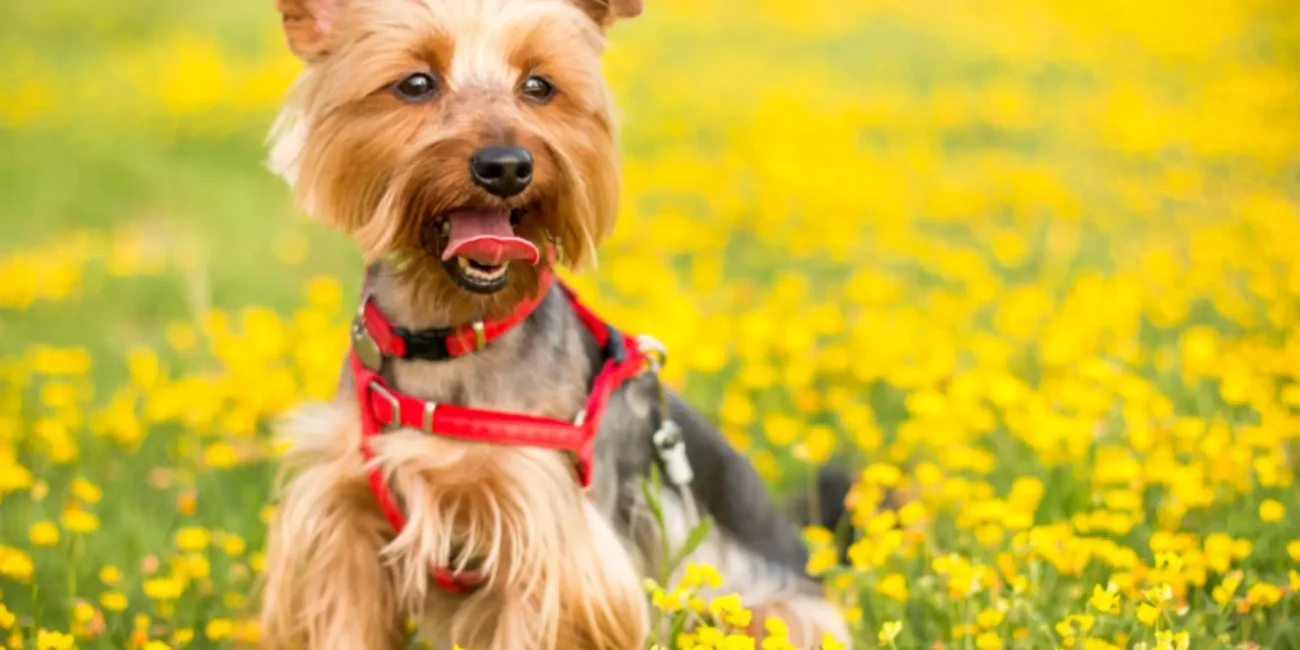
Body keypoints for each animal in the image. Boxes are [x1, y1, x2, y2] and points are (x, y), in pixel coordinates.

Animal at [258, 0, 857, 647]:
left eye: (539, 86)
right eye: (415, 84)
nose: (506, 166)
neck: (451, 334)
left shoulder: (550, 540)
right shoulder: (341, 521)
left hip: (771, 611)